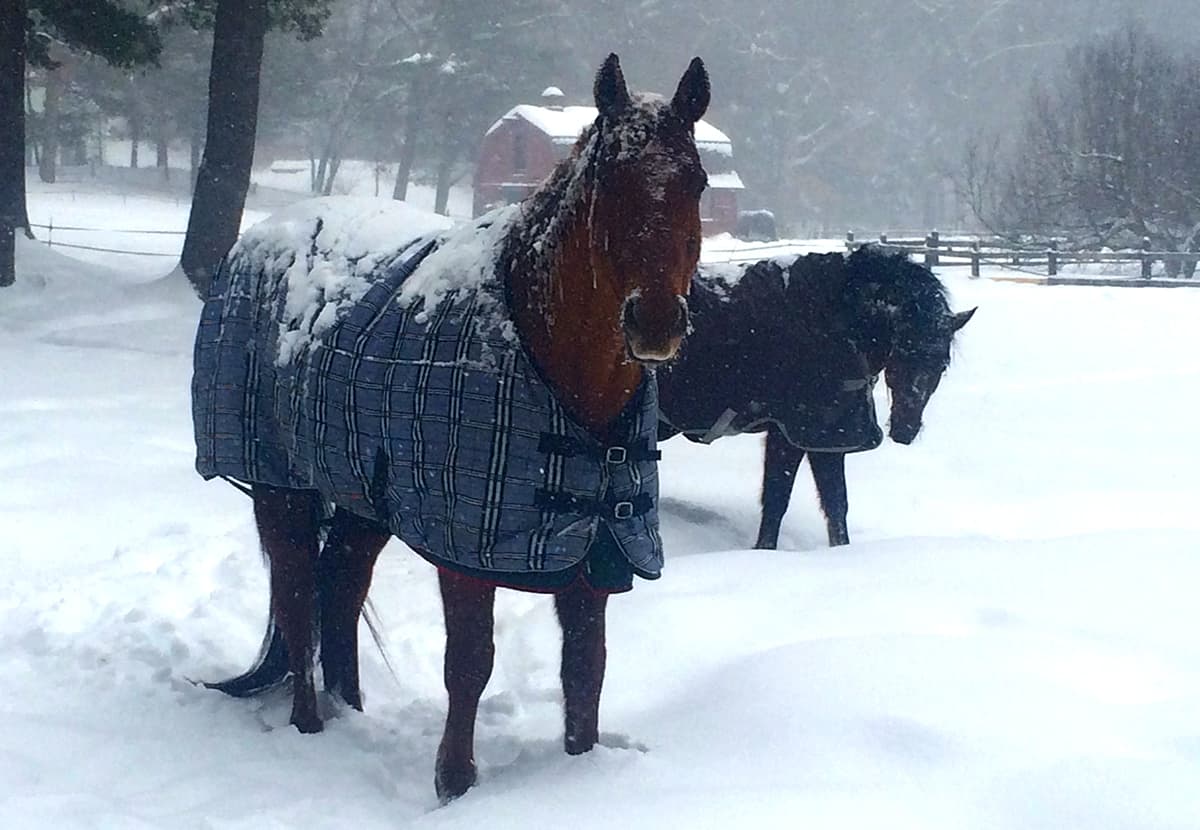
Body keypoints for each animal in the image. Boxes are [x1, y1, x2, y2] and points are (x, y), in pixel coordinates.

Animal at [190, 54, 711, 803]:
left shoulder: (599, 549)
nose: (657, 323)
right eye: (609, 179)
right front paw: (455, 785)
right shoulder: (467, 555)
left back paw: (351, 712)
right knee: (295, 598)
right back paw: (310, 726)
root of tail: (260, 237)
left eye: (696, 181)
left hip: (362, 501)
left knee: (339, 588)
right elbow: (470, 664)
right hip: (277, 485)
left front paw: (579, 773)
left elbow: (585, 671)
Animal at [656, 245, 975, 549]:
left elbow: (832, 505)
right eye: (903, 351)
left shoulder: (818, 437)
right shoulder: (798, 434)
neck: (830, 319)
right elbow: (780, 501)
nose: (905, 430)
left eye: (941, 364)